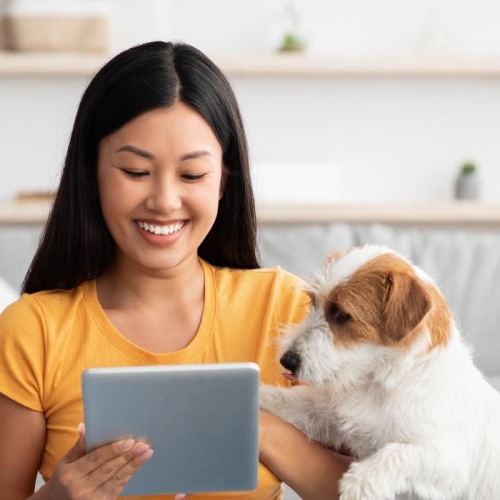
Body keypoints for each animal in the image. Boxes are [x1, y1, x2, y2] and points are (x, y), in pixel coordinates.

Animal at [260, 244, 500, 498]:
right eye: (313, 304)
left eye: (341, 315)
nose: (287, 361)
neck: (378, 383)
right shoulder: (325, 413)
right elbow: (285, 401)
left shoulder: (446, 462)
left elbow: (399, 453)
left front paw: (359, 484)